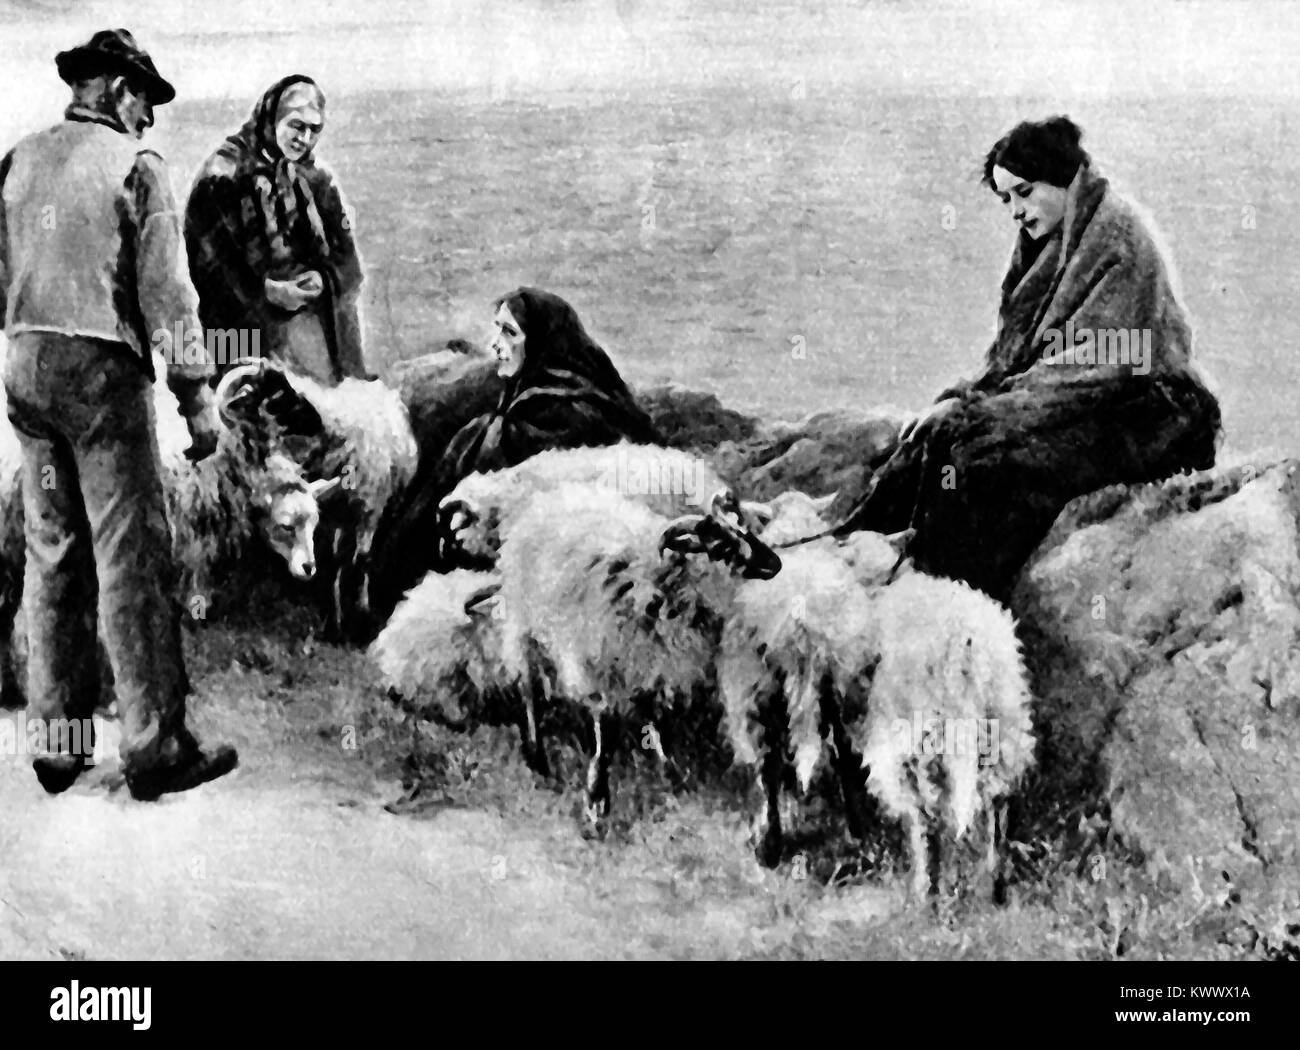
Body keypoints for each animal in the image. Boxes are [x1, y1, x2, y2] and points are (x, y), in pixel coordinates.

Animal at [493, 480, 780, 821]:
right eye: (722, 547)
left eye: (748, 530)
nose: (775, 564)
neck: (663, 582)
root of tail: (548, 500)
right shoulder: (601, 662)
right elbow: (605, 732)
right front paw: (596, 800)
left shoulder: (655, 661)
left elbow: (657, 719)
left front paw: (671, 776)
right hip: (524, 626)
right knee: (530, 691)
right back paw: (538, 759)